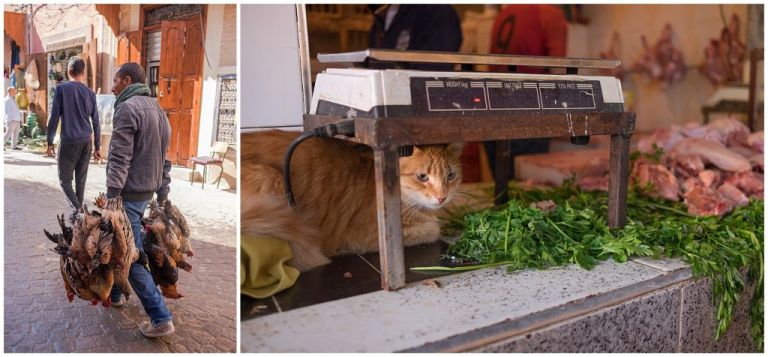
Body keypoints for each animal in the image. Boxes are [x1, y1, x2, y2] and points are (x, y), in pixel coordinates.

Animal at [242, 129, 462, 272]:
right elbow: (433, 228)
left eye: (450, 176)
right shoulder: (372, 236)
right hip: (271, 178)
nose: (442, 197)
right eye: (422, 177)